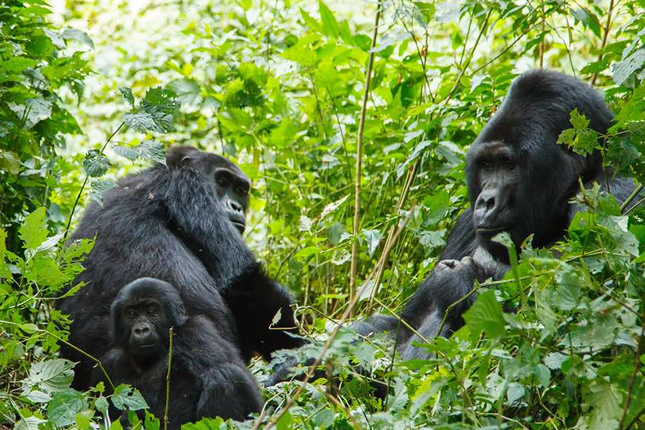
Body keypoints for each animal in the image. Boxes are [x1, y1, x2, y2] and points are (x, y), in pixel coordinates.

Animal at [94, 278, 260, 428]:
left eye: (152, 312)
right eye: (131, 314)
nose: (141, 330)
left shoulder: (195, 331)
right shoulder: (109, 364)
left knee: (223, 377)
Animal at [354, 69, 636, 360]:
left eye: (509, 165)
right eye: (487, 165)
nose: (486, 202)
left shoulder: (611, 196)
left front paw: (459, 283)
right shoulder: (466, 224)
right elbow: (402, 325)